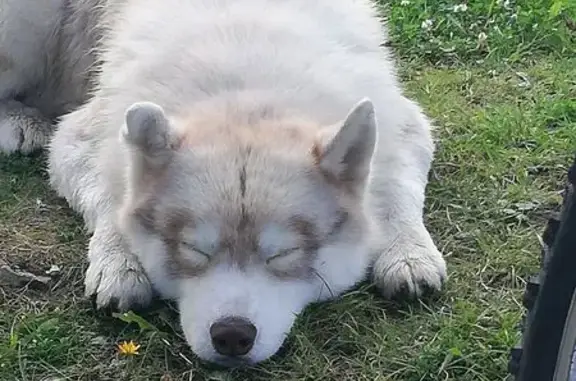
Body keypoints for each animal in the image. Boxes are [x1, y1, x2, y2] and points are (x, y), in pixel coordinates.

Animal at [0, 0, 448, 366]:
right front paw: (119, 261)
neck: (249, 85)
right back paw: (19, 121)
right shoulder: (80, 137)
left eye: (282, 254)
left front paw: (408, 253)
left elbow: (398, 192)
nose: (232, 335)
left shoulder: (406, 126)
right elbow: (112, 201)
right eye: (194, 249)